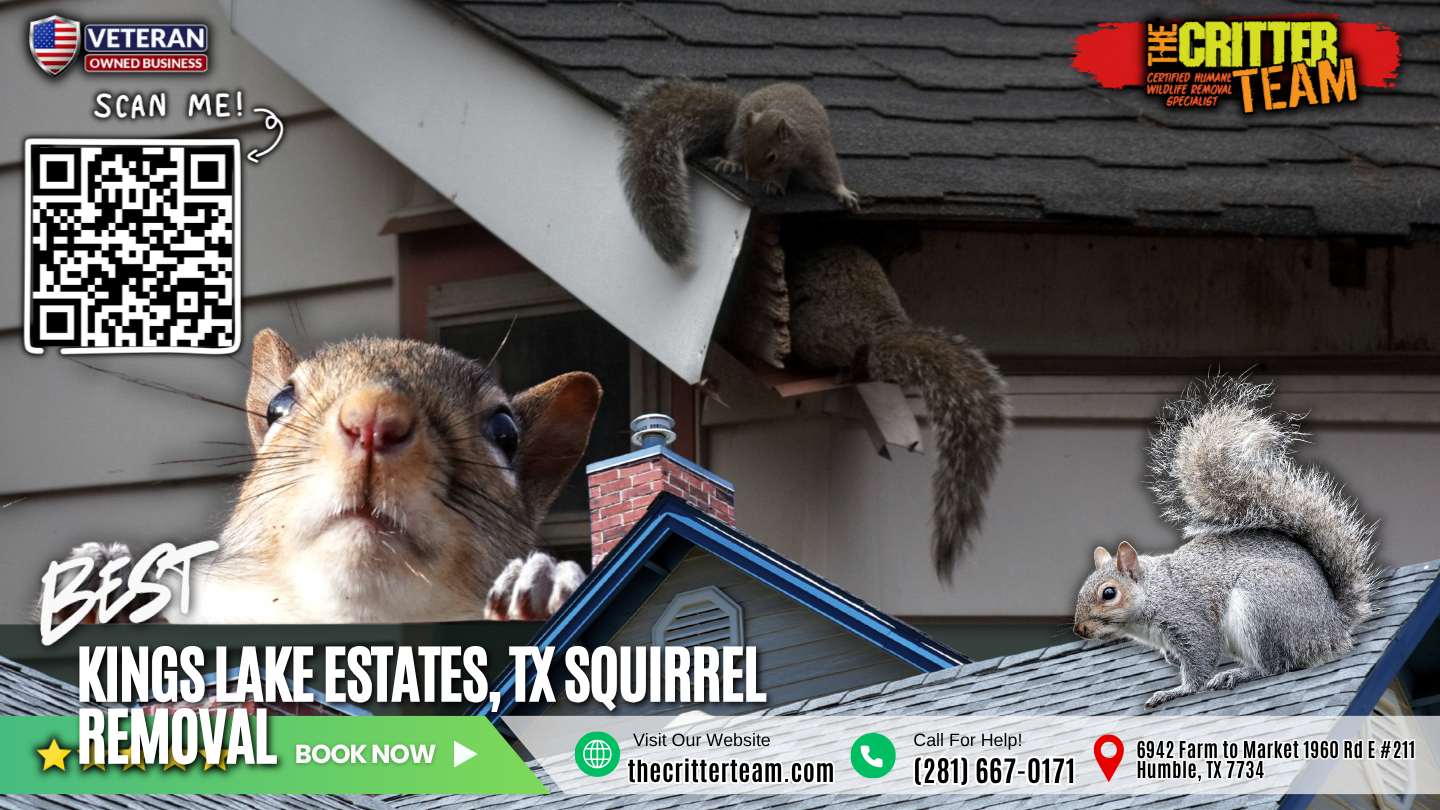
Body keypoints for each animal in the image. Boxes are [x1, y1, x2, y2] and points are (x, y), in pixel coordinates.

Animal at [620, 78, 861, 267]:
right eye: (748, 148)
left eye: (771, 156)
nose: (750, 179)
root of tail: (739, 111)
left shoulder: (817, 148)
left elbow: (829, 170)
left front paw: (842, 191)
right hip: (739, 129)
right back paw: (731, 163)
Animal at [1073, 376, 1375, 709]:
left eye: (1109, 593)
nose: (1079, 629)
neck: (1154, 594)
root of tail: (1333, 626)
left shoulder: (1190, 620)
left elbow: (1201, 659)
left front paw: (1177, 691)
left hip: (1264, 607)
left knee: (1276, 665)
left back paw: (1239, 673)